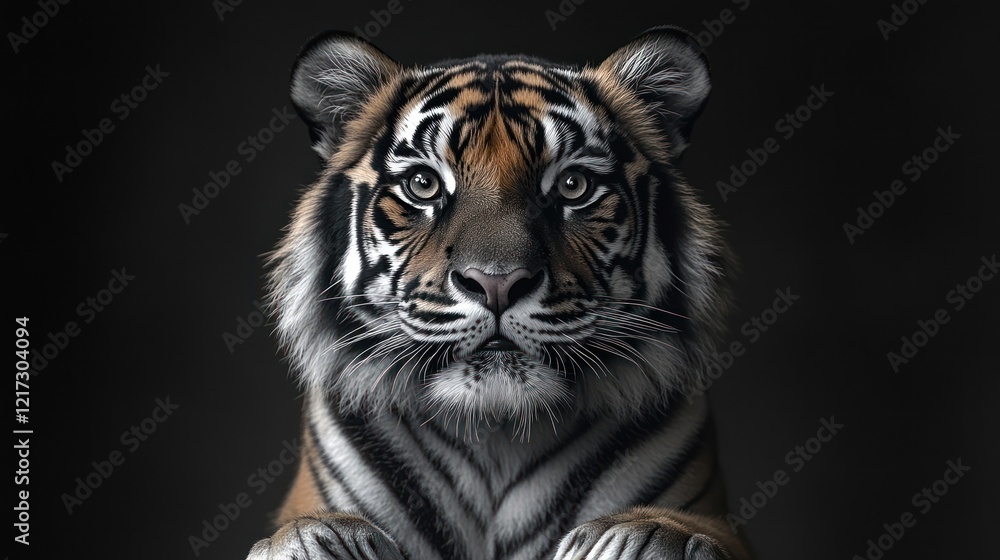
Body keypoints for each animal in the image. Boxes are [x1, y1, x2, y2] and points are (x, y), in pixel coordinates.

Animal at [247, 25, 750, 560]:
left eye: (573, 185)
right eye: (423, 184)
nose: (496, 283)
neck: (497, 434)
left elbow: (675, 528)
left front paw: (646, 536)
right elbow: (304, 529)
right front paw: (314, 540)